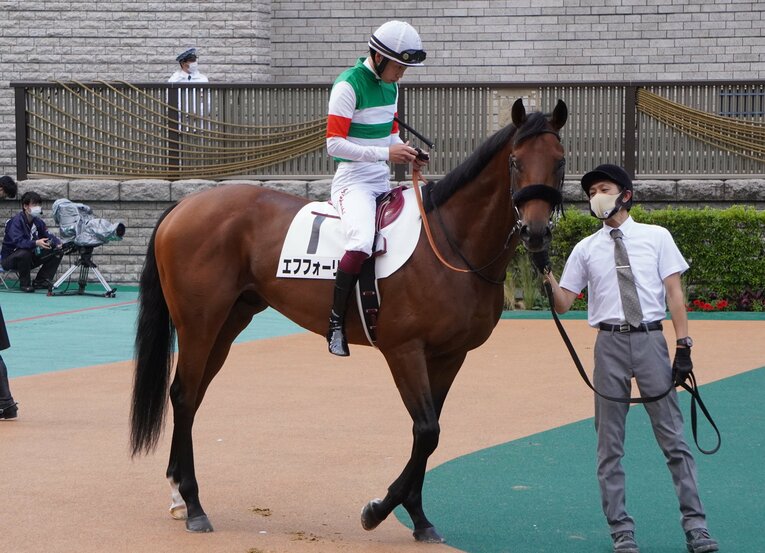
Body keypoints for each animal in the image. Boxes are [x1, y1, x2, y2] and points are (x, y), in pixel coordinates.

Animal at [130, 98, 568, 542]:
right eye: (514, 161)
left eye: (560, 162)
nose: (535, 233)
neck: (448, 244)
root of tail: (184, 205)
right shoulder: (405, 351)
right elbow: (426, 430)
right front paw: (377, 510)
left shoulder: (449, 355)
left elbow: (429, 433)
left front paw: (418, 518)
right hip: (199, 324)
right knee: (184, 394)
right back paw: (194, 504)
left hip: (229, 323)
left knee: (192, 395)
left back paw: (179, 496)